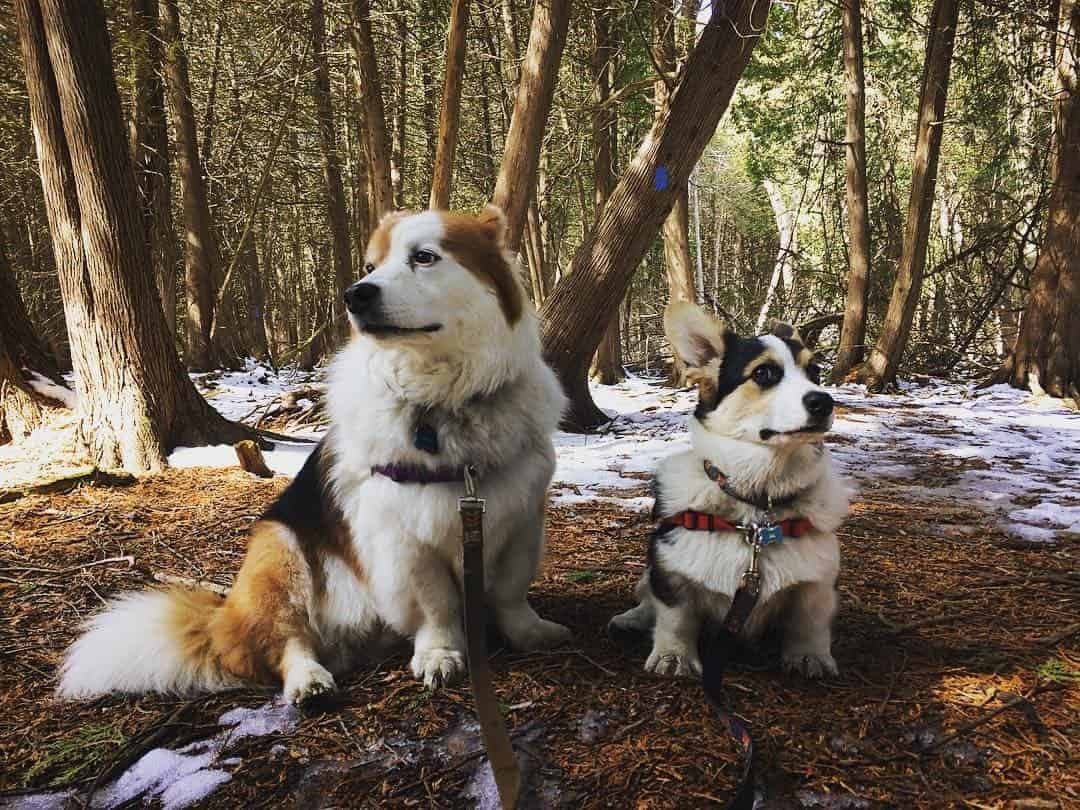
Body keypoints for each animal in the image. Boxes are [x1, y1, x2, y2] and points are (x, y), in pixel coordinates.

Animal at [61, 206, 574, 708]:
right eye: (370, 266)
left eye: (424, 257)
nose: (356, 295)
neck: (443, 400)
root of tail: (224, 617)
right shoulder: (406, 542)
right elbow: (438, 606)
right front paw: (440, 654)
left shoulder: (521, 519)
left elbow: (510, 592)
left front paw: (529, 632)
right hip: (279, 551)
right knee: (288, 641)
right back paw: (308, 681)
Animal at [609, 302, 851, 678]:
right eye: (764, 373)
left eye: (815, 371)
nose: (824, 403)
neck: (757, 503)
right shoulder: (669, 569)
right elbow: (675, 617)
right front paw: (673, 656)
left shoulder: (819, 583)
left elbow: (809, 622)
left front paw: (809, 656)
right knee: (647, 597)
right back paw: (631, 619)